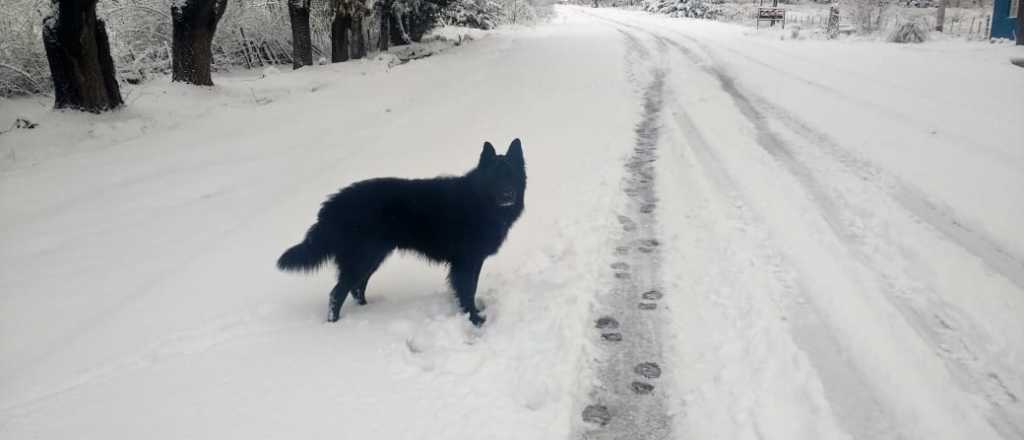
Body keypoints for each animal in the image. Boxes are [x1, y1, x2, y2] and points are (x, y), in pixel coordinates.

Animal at [276, 139, 524, 325]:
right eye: (495, 177)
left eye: (511, 176)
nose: (508, 195)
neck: (479, 201)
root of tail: (332, 205)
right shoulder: (465, 262)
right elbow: (468, 291)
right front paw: (474, 319)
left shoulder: (473, 260)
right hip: (362, 258)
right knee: (337, 294)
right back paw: (335, 325)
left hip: (371, 257)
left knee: (356, 288)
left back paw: (367, 310)